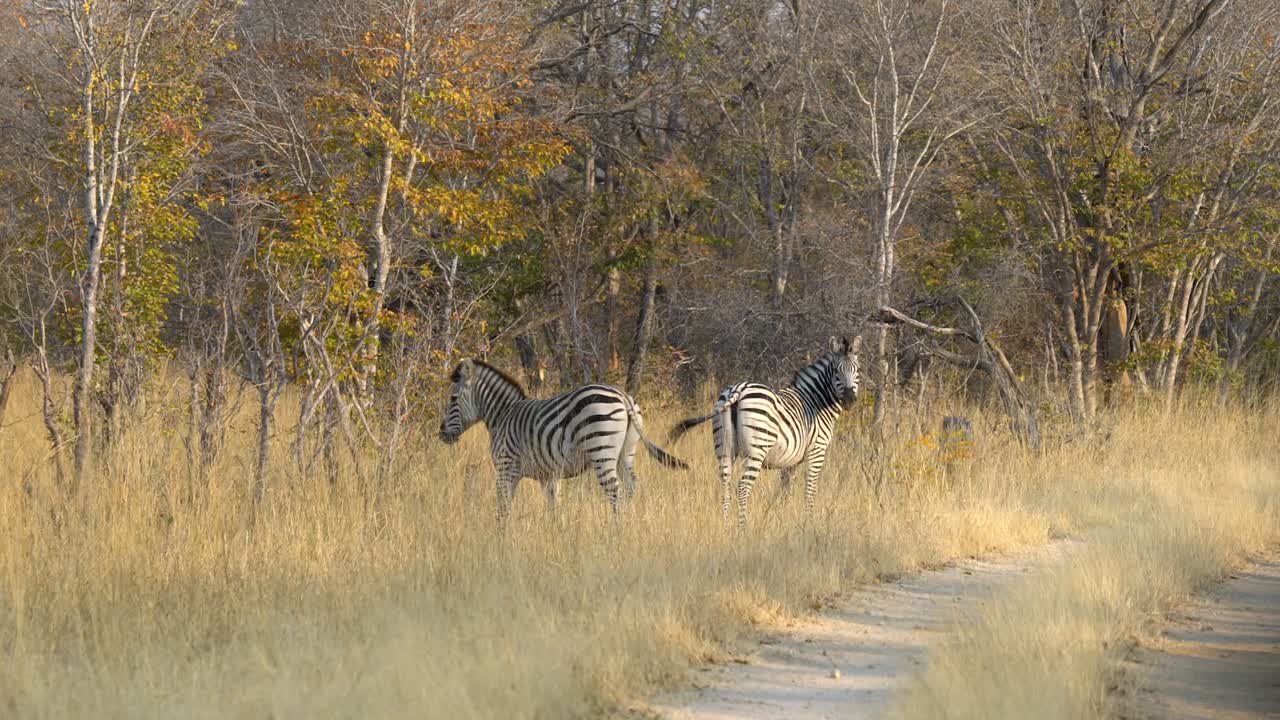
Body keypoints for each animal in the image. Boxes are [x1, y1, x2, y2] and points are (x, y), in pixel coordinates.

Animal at [438, 358, 688, 524]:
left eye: (453, 399)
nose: (441, 434)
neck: (503, 415)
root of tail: (623, 396)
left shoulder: (506, 467)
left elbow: (503, 507)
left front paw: (501, 539)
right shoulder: (548, 475)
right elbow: (554, 506)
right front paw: (557, 532)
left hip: (601, 449)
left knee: (614, 490)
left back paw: (615, 531)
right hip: (626, 451)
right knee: (631, 485)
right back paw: (629, 523)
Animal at [669, 336, 863, 527]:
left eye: (857, 370)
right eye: (836, 371)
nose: (850, 400)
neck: (815, 403)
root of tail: (737, 390)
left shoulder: (791, 460)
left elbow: (785, 491)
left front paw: (783, 517)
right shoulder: (817, 451)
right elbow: (809, 489)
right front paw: (807, 522)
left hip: (723, 447)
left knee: (725, 485)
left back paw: (725, 526)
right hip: (757, 450)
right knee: (742, 488)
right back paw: (742, 528)